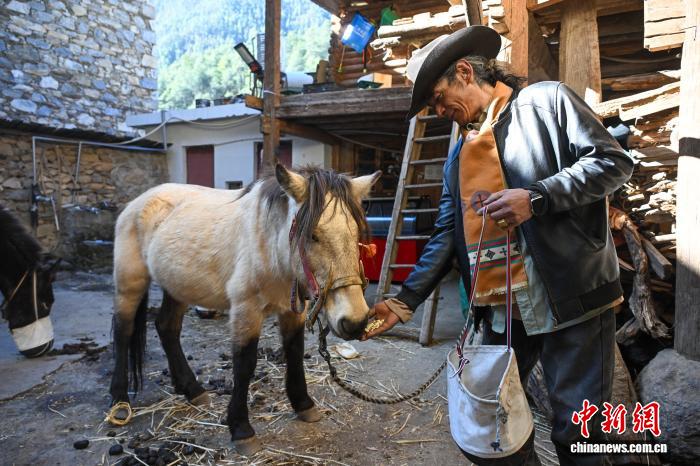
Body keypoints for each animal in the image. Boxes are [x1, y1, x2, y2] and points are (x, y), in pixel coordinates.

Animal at [109, 164, 380, 454]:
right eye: (313, 235)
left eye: (356, 235)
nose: (355, 321)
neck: (269, 245)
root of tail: (137, 203)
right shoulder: (245, 310)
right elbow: (244, 363)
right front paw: (241, 429)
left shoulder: (292, 310)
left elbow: (294, 351)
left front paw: (303, 404)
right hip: (130, 283)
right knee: (124, 331)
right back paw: (120, 400)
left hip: (177, 286)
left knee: (167, 328)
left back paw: (192, 389)